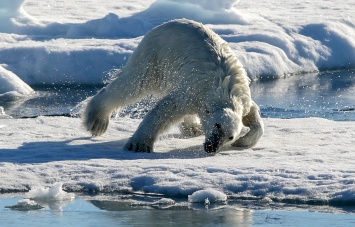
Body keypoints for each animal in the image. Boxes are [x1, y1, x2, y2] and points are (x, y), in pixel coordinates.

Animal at [82, 18, 262, 153]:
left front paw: (243, 141)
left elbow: (255, 117)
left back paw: (193, 128)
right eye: (217, 125)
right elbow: (166, 109)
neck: (225, 93)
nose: (211, 146)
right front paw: (138, 145)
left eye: (230, 136)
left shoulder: (244, 101)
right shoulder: (194, 92)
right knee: (133, 84)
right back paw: (97, 121)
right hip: (155, 57)